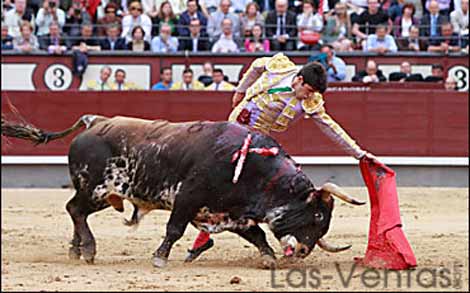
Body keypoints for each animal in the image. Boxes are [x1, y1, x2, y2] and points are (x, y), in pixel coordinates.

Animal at [0, 114, 366, 266]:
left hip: (100, 194)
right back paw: (88, 250)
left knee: (75, 211)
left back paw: (76, 250)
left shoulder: (230, 212)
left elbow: (257, 235)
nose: (304, 251)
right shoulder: (187, 198)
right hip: (97, 188)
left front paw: (268, 258)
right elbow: (174, 229)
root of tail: (94, 122)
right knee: (75, 209)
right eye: (317, 216)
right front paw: (160, 258)